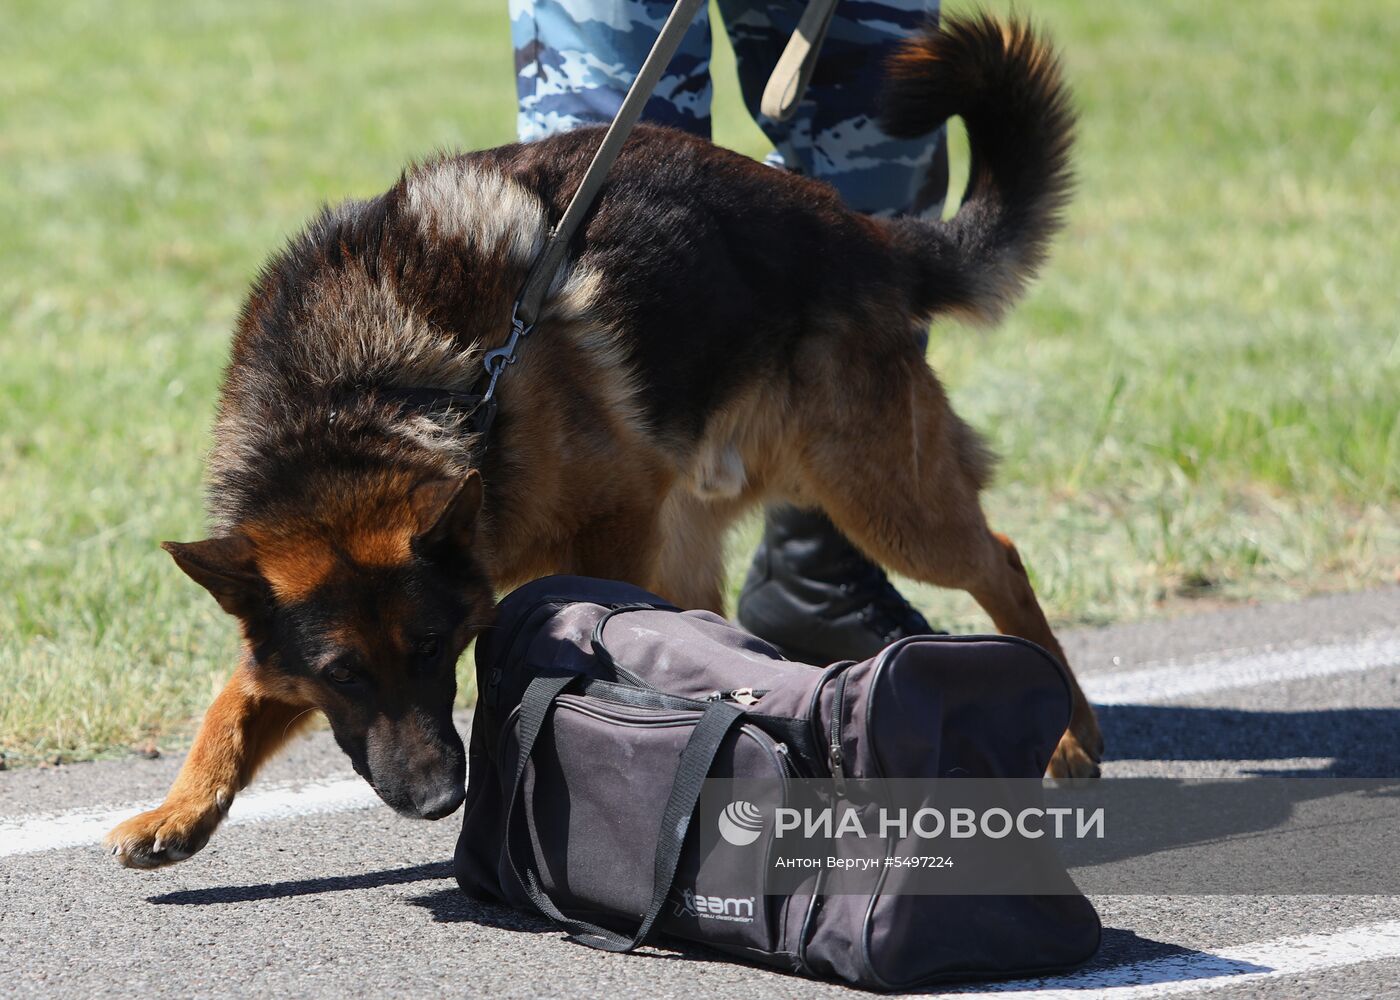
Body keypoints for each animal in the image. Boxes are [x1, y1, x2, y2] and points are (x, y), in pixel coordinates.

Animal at [103, 13, 1097, 862]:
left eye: (431, 650)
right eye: (342, 673)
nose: (436, 802)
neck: (358, 404)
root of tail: (868, 234)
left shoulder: (614, 520)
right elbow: (239, 694)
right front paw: (181, 806)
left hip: (881, 499)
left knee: (1000, 559)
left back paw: (1068, 732)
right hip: (718, 527)